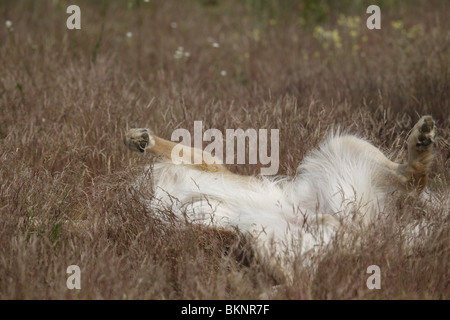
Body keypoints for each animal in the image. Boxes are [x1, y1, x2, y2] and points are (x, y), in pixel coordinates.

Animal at [123, 115, 436, 280]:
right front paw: (138, 139)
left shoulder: (209, 165)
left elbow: (173, 147)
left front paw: (138, 138)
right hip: (266, 238)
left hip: (343, 145)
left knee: (412, 179)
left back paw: (421, 137)